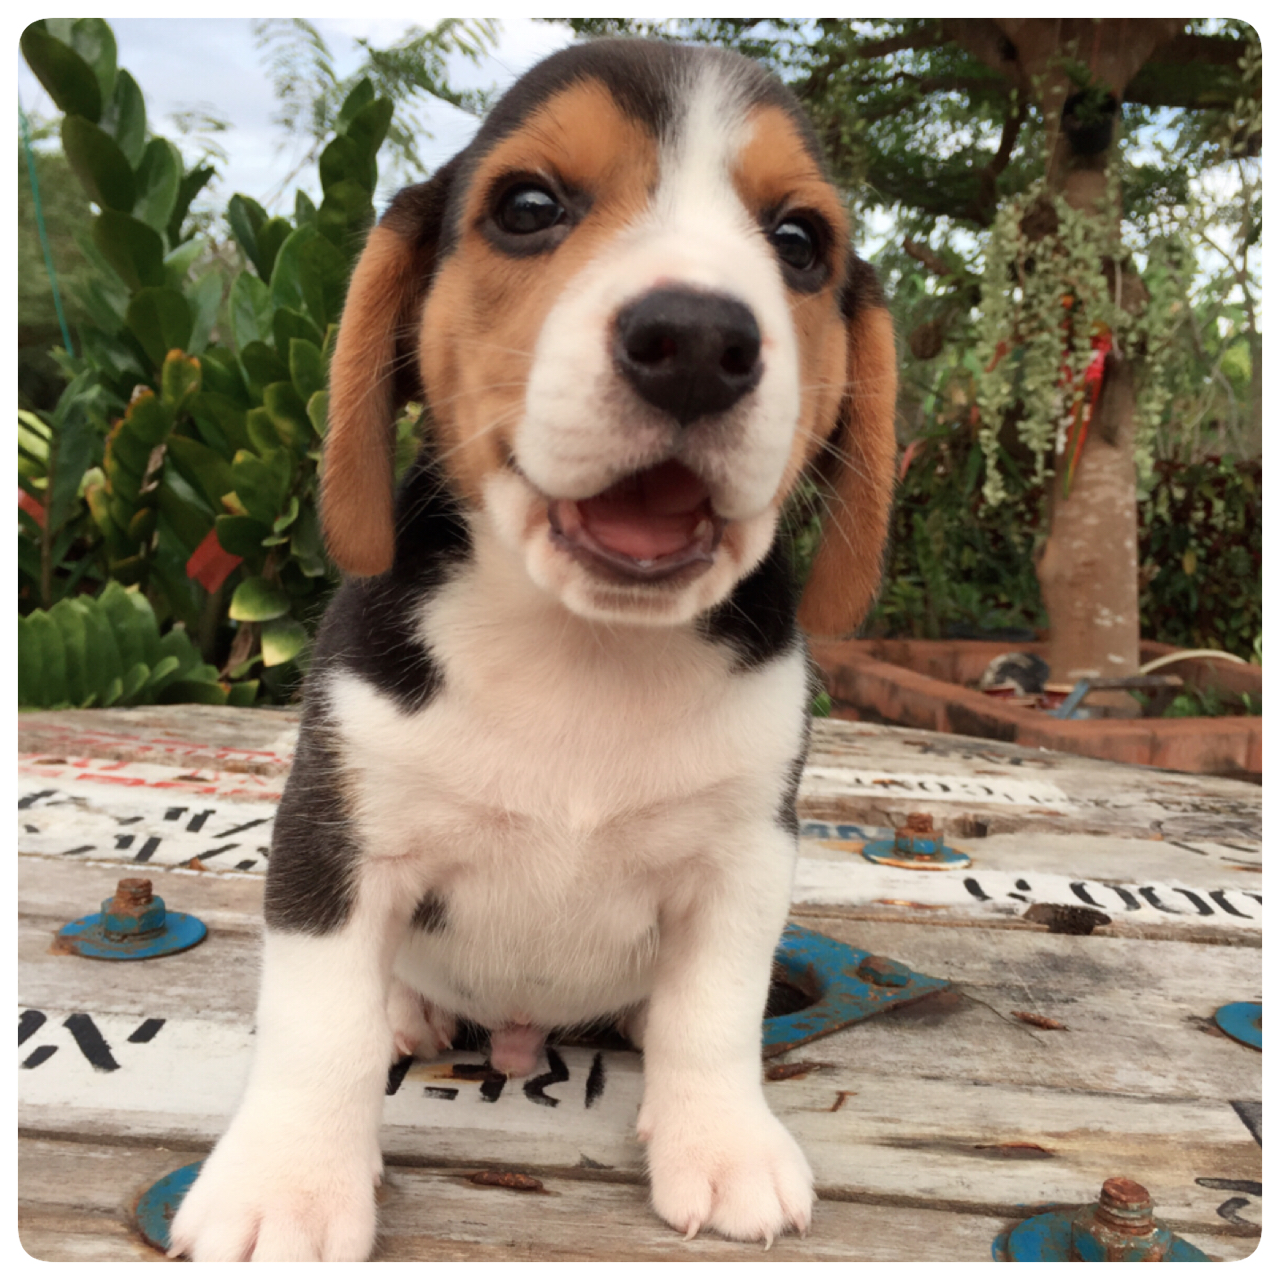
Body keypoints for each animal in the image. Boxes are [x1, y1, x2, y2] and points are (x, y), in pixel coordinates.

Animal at [170, 37, 897, 1260]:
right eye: (527, 207)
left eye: (798, 241)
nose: (697, 341)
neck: (584, 645)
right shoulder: (332, 833)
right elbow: (317, 1025)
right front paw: (288, 1185)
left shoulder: (745, 855)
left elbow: (714, 1010)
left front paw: (723, 1140)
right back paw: (408, 1008)